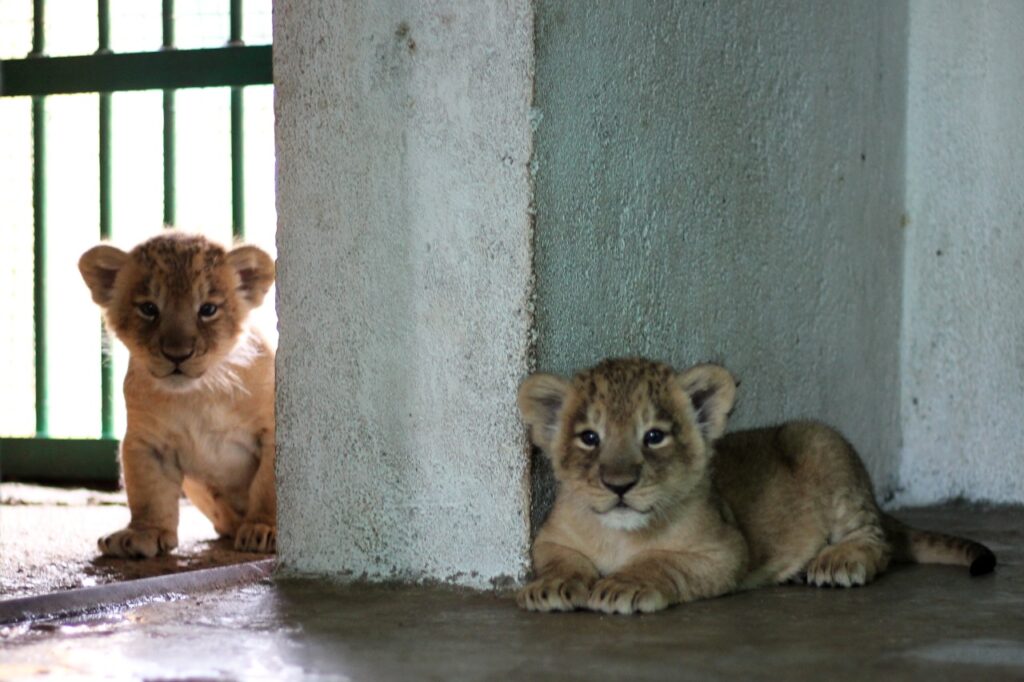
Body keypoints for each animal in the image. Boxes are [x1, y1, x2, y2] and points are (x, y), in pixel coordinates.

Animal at [78, 231, 277, 557]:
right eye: (149, 309)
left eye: (208, 309)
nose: (177, 355)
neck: (198, 395)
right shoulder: (147, 442)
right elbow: (148, 492)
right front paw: (143, 534)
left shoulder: (273, 430)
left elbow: (268, 485)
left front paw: (264, 529)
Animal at [517, 358, 995, 614]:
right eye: (589, 438)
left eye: (654, 436)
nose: (619, 485)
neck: (619, 535)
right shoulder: (549, 539)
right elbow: (560, 561)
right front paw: (550, 587)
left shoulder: (726, 550)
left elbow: (660, 561)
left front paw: (624, 585)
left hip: (820, 441)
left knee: (878, 543)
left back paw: (838, 561)